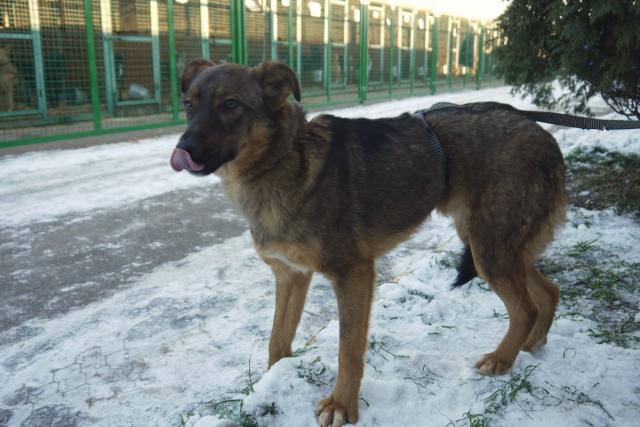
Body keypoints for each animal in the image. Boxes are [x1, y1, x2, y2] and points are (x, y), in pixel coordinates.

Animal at [170, 60, 566, 426]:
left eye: (231, 104)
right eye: (189, 104)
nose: (182, 149)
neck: (288, 158)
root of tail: (542, 133)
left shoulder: (354, 274)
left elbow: (348, 350)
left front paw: (342, 406)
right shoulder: (292, 276)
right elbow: (277, 340)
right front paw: (271, 386)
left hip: (489, 249)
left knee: (525, 308)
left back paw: (502, 359)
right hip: (493, 246)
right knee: (548, 292)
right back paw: (531, 344)